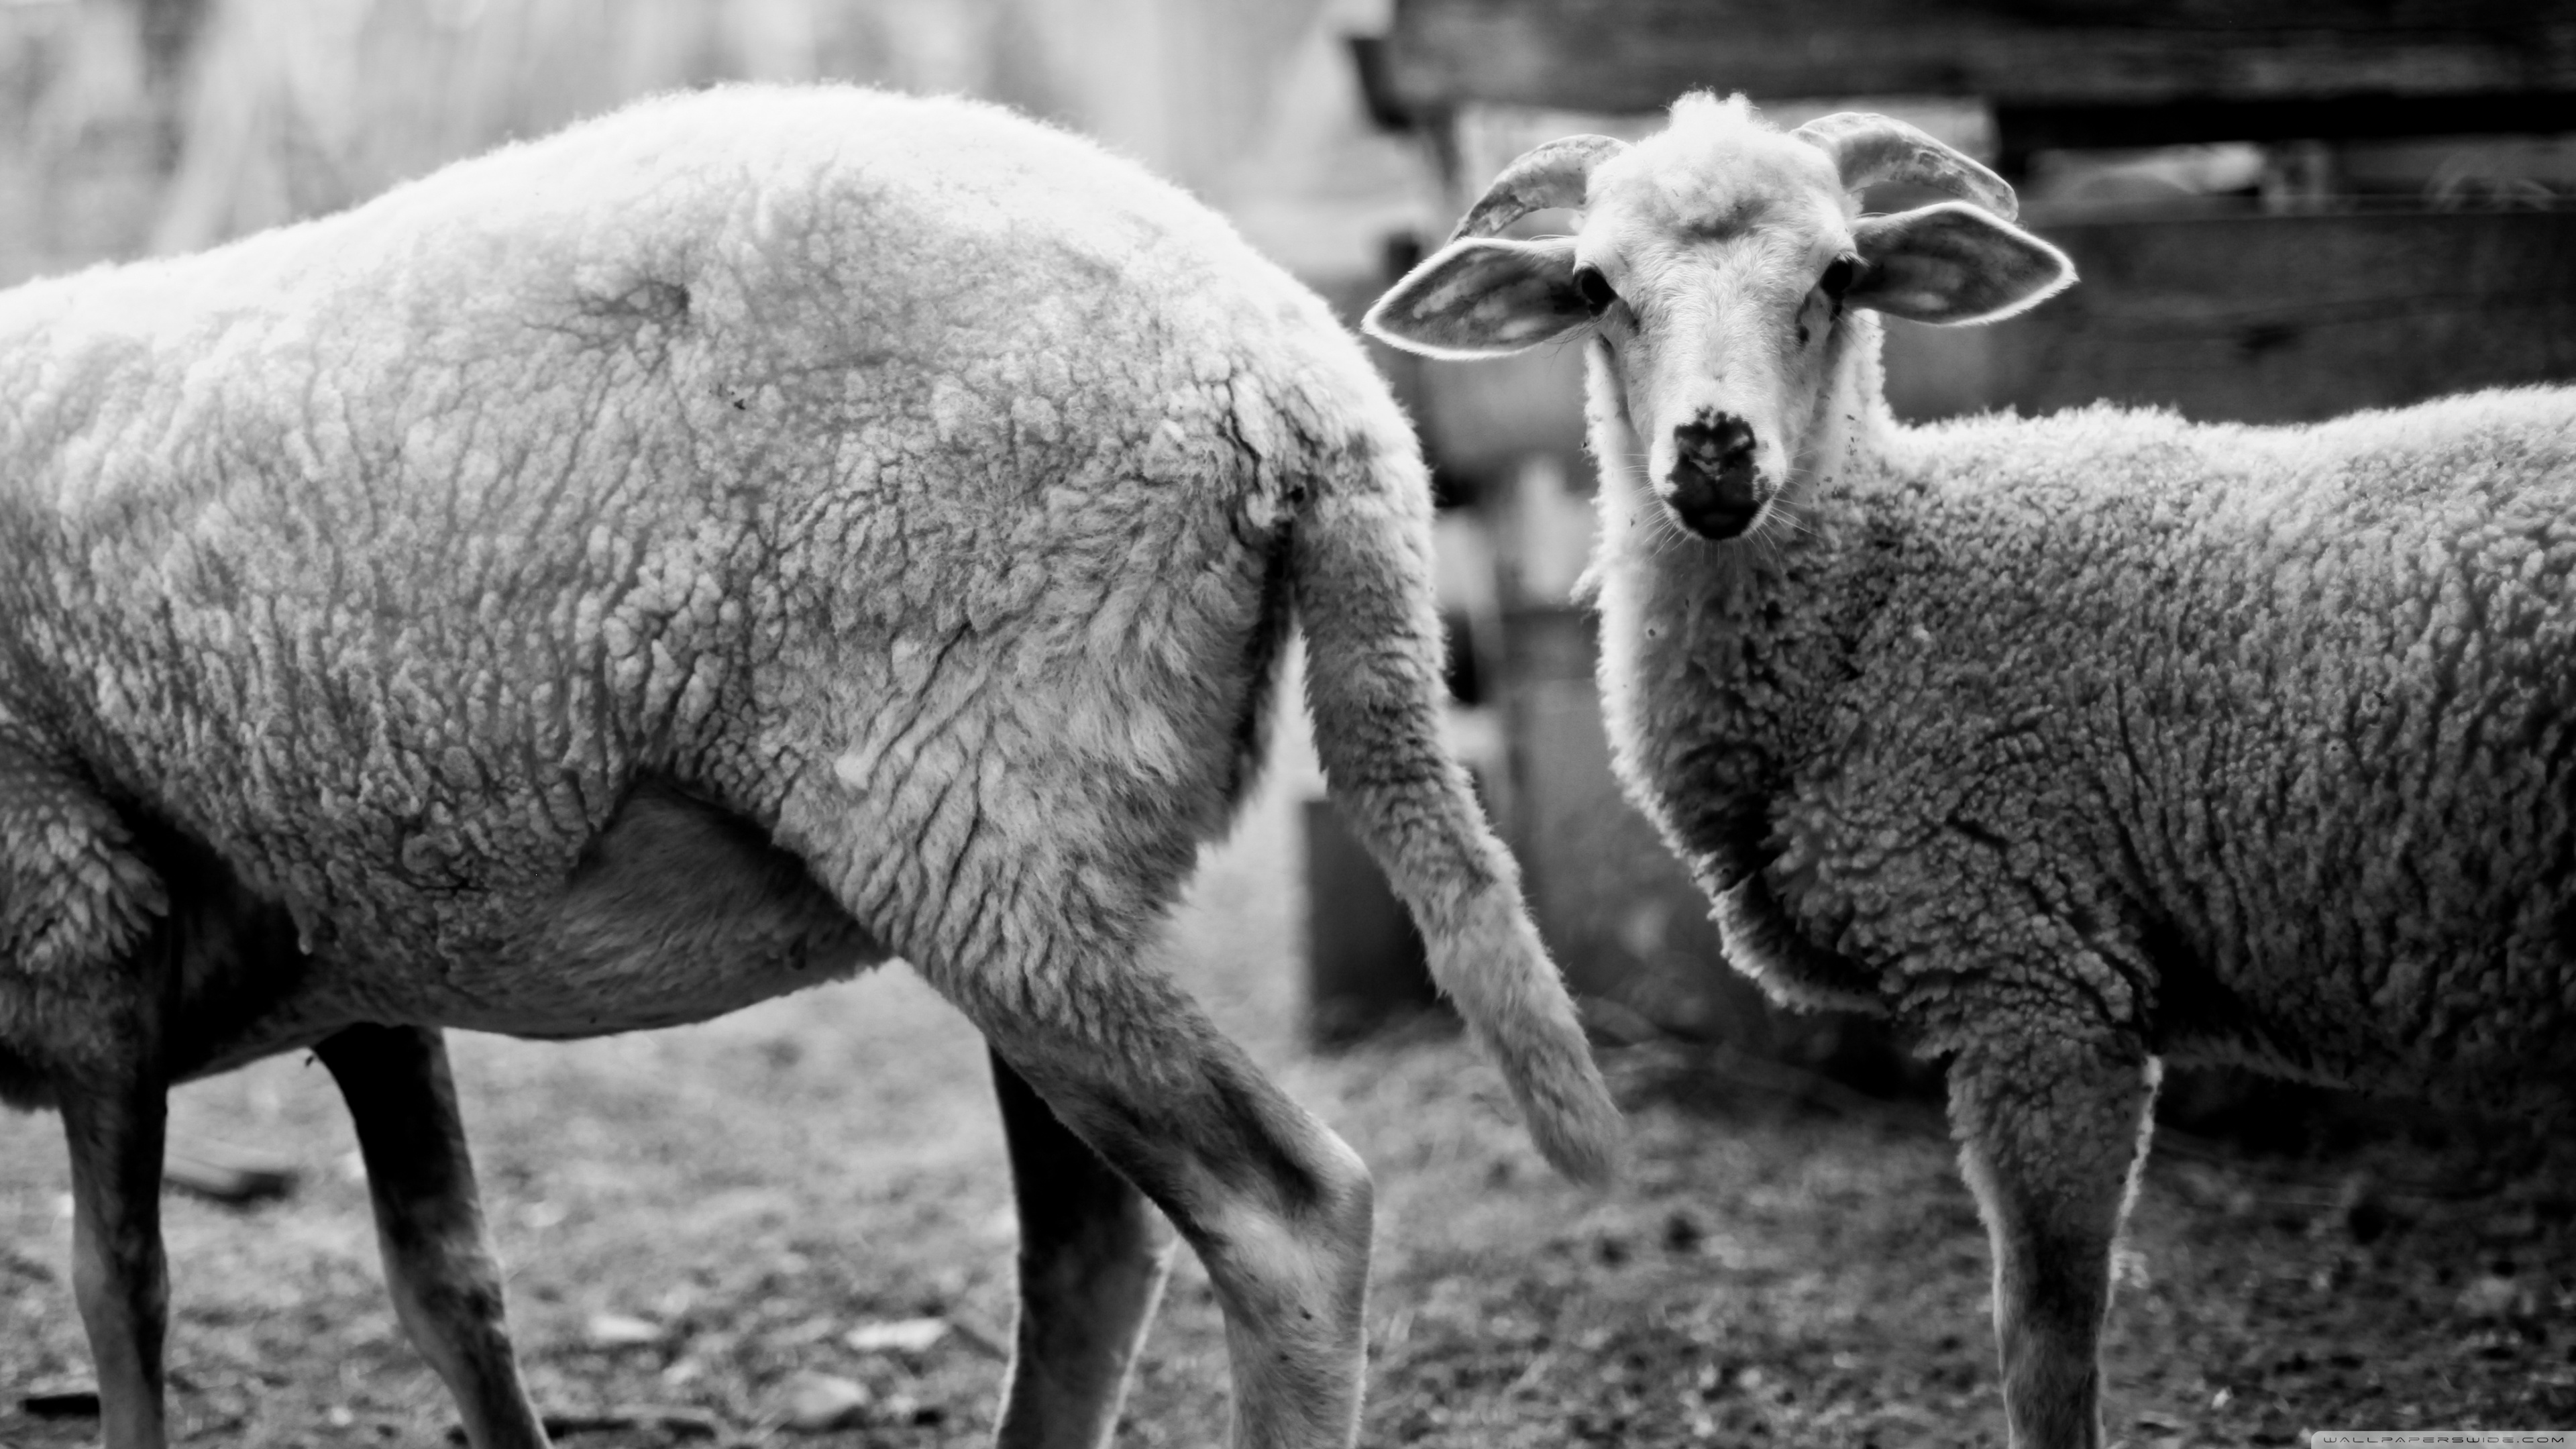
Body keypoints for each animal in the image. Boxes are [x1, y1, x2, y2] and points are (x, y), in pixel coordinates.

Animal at [0, 82, 1622, 1449]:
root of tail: (1304, 378)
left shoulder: (78, 919)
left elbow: (119, 1292)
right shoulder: (359, 947)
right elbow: (448, 1285)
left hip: (983, 817)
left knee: (1282, 1215)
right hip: (1030, 862)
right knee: (1092, 1250)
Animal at [1362, 90, 2576, 1449]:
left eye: (1840, 274)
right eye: (1592, 284)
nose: (1715, 455)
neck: (1885, 590)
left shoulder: (2037, 976)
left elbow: (2043, 1332)